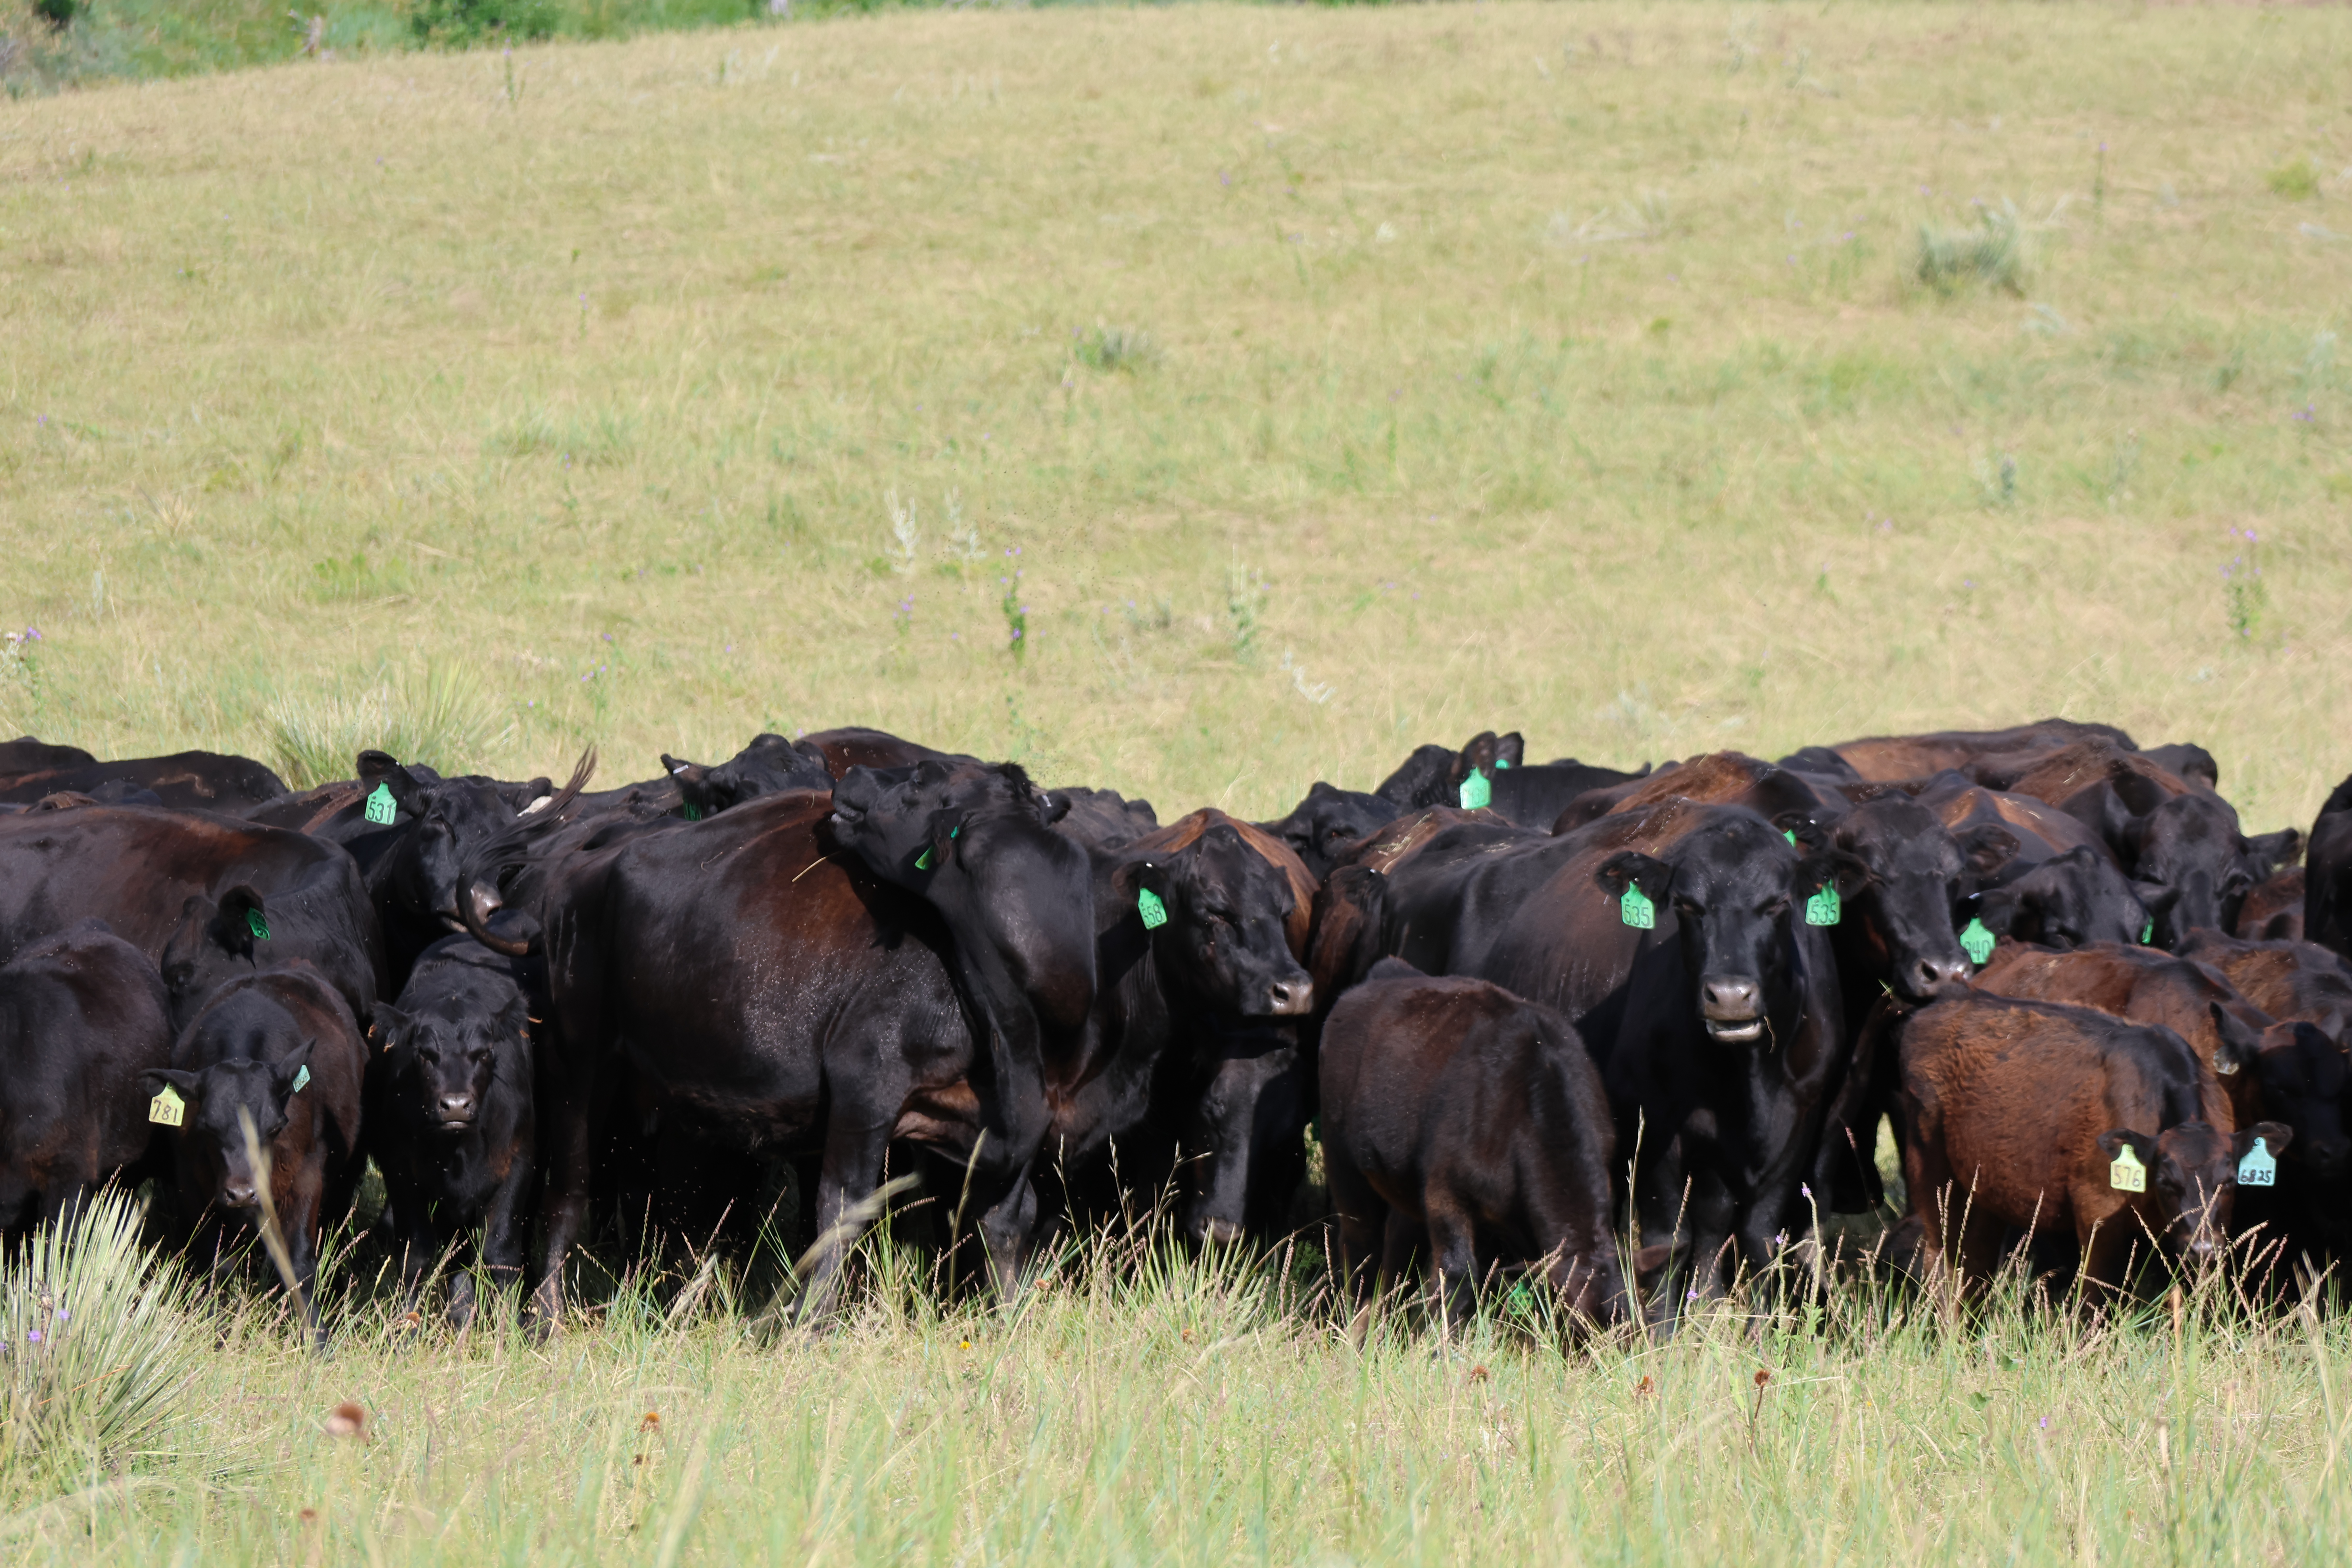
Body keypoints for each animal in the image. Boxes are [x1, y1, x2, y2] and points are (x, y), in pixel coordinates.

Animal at [144, 959, 364, 1354]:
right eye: (208, 1126)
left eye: (276, 1126)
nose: (243, 1193)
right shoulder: (191, 1186)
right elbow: (214, 1261)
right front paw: (215, 1332)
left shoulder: (308, 1176)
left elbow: (299, 1262)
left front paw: (317, 1339)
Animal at [369, 940, 536, 1335]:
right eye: (424, 1054)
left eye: (485, 1052)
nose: (456, 1105)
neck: (460, 1153)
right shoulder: (400, 1168)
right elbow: (416, 1253)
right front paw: (406, 1331)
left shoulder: (519, 1162)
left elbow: (500, 1252)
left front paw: (507, 1333)